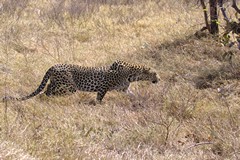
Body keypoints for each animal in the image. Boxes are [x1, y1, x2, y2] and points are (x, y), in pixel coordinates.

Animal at [2, 60, 159, 102]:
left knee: (48, 88)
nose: (159, 79)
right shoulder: (103, 86)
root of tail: (53, 66)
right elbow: (99, 98)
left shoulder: (124, 89)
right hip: (69, 86)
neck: (132, 74)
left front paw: (139, 99)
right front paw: (98, 105)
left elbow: (132, 94)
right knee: (49, 91)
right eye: (155, 74)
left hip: (58, 82)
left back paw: (47, 97)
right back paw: (49, 97)